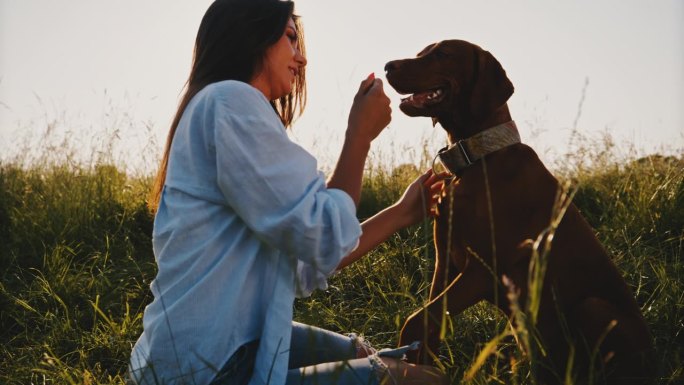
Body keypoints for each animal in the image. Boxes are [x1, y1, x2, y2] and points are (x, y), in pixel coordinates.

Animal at [384, 40, 652, 382]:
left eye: (443, 53)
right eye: (421, 52)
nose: (387, 66)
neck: (477, 159)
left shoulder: (482, 269)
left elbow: (416, 321)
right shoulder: (445, 262)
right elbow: (429, 325)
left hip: (594, 307)